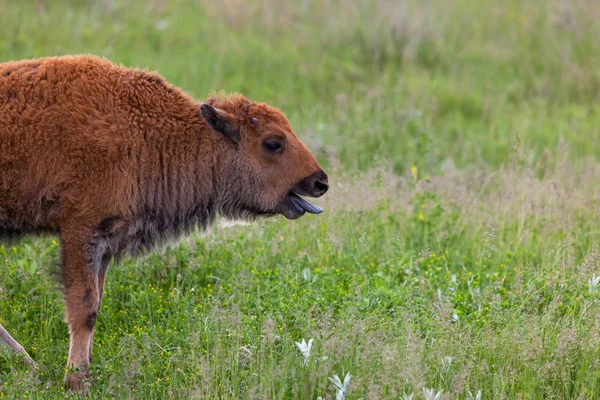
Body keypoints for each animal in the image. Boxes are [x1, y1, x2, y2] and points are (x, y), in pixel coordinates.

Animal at [0, 55, 328, 390]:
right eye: (272, 143)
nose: (320, 182)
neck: (148, 133)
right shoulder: (80, 232)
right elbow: (85, 308)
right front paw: (76, 380)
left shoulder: (104, 243)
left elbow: (96, 302)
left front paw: (86, 371)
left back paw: (27, 362)